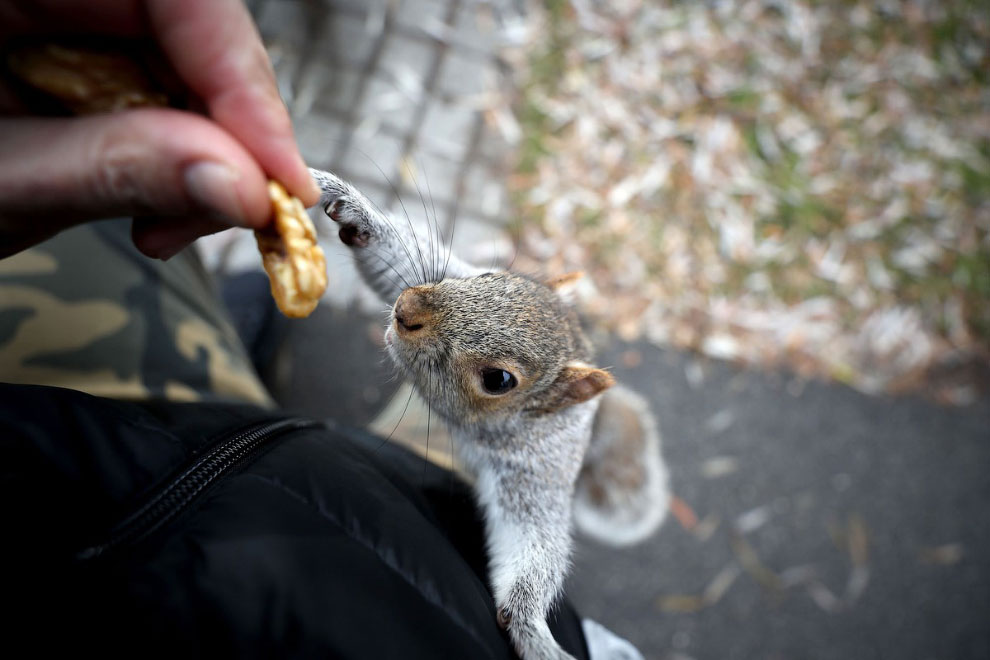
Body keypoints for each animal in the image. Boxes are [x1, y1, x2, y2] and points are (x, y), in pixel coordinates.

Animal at [308, 168, 676, 656]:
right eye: (488, 274)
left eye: (498, 380)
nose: (406, 308)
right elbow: (390, 266)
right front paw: (350, 206)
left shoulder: (535, 475)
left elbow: (532, 539)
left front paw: (531, 628)